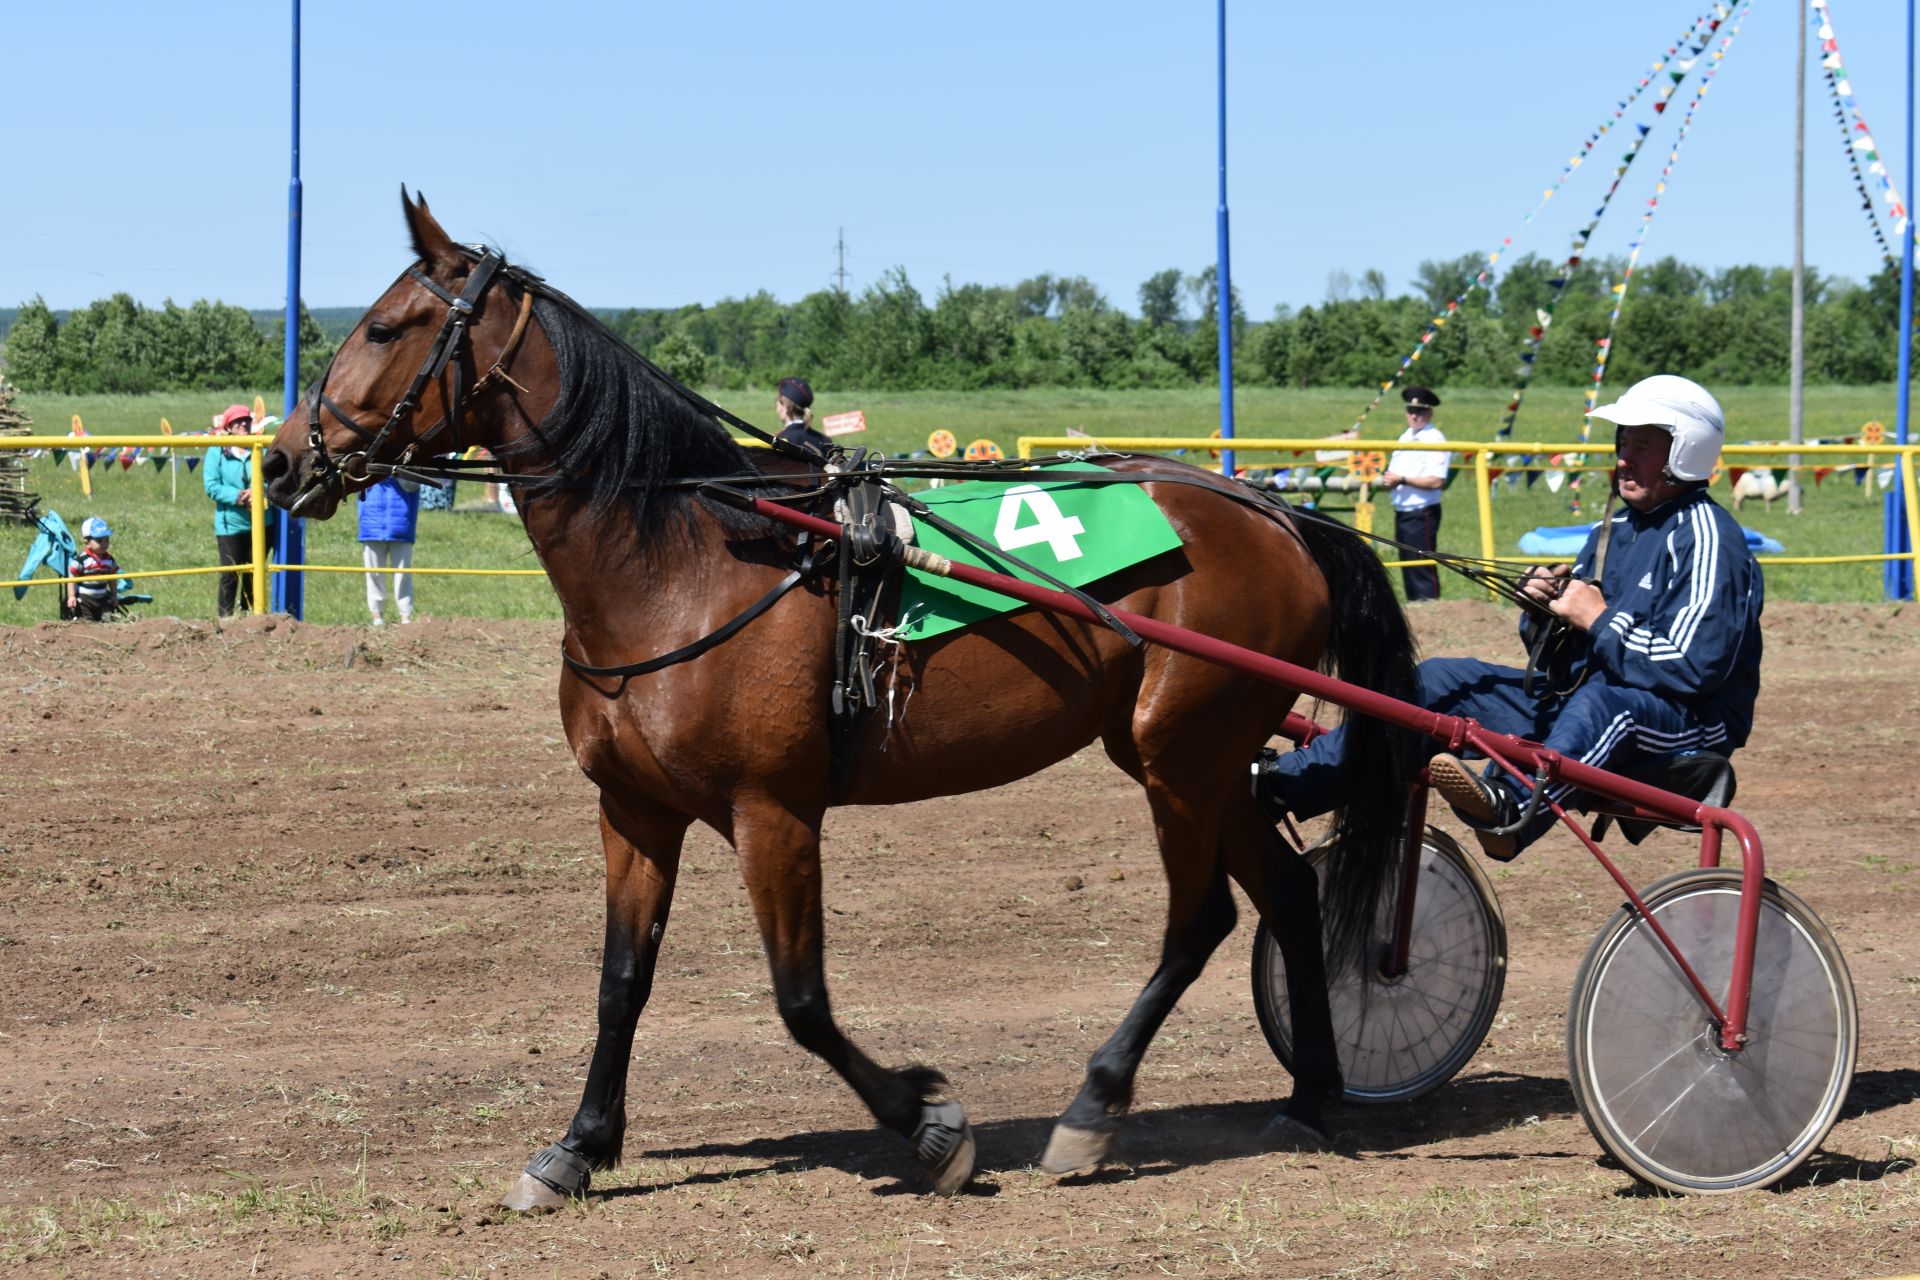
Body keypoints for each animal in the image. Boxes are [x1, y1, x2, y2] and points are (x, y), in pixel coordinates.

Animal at [263, 192, 1420, 1212]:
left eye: (385, 325)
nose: (280, 460)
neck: (684, 566)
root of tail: (1277, 513)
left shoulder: (773, 812)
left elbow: (803, 1000)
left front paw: (932, 1126)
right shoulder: (631, 809)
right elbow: (621, 981)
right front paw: (578, 1147)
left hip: (1181, 755)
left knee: (1202, 917)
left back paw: (1094, 1107)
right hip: (1198, 756)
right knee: (1288, 893)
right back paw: (1309, 1097)